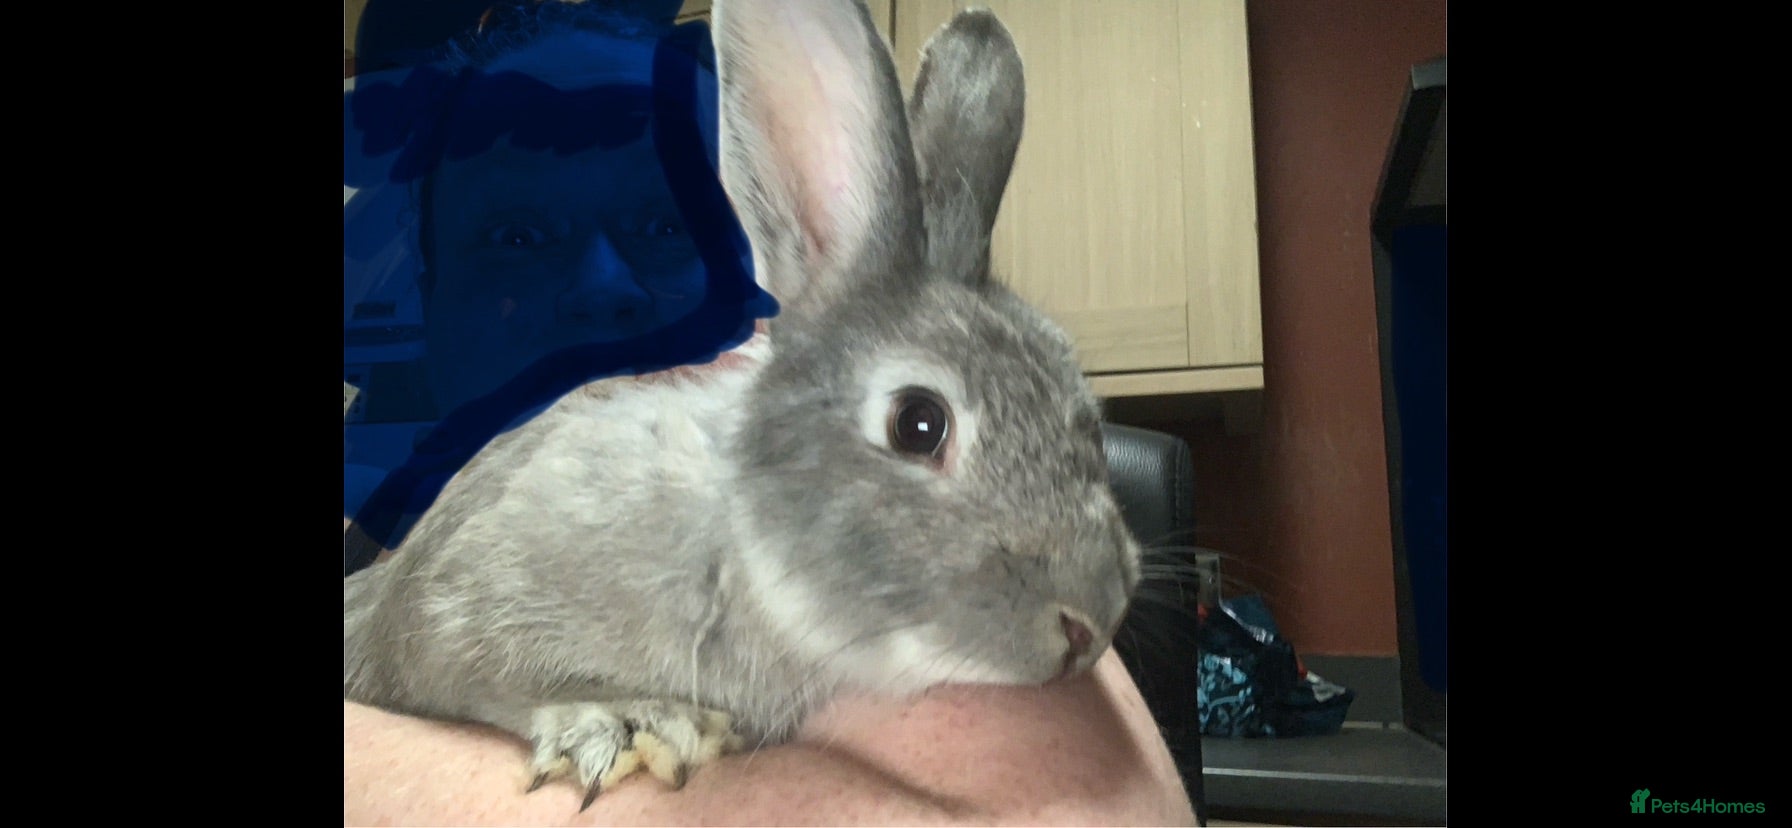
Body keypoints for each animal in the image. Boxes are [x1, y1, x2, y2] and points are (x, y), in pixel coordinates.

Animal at [343, 0, 1142, 809]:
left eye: (1084, 407)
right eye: (920, 424)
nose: (1092, 622)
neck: (743, 552)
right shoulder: (444, 614)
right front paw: (628, 722)